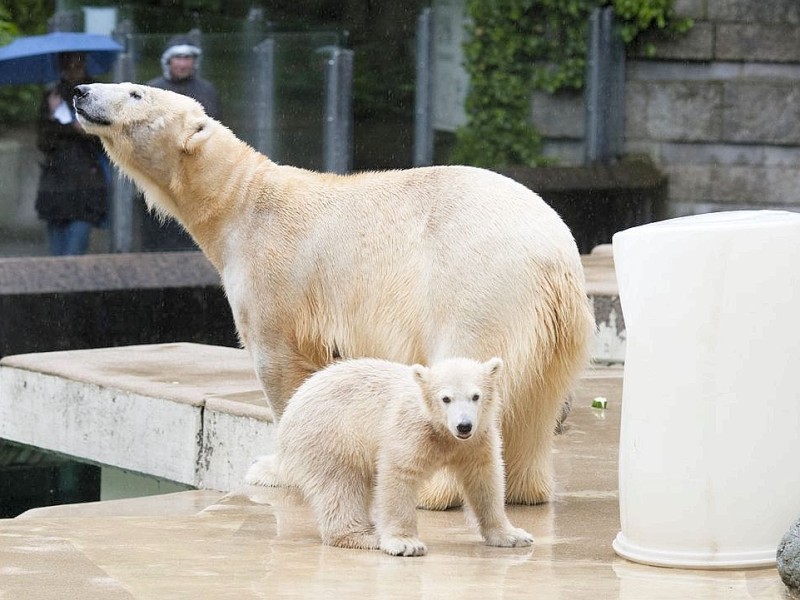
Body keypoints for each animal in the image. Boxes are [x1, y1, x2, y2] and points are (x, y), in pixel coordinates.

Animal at [75, 82, 596, 508]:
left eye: (136, 92)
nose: (80, 91)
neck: (239, 203)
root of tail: (554, 255)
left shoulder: (275, 277)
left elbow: (281, 369)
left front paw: (273, 468)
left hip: (475, 288)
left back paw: (433, 491)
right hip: (559, 330)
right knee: (538, 404)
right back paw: (524, 488)